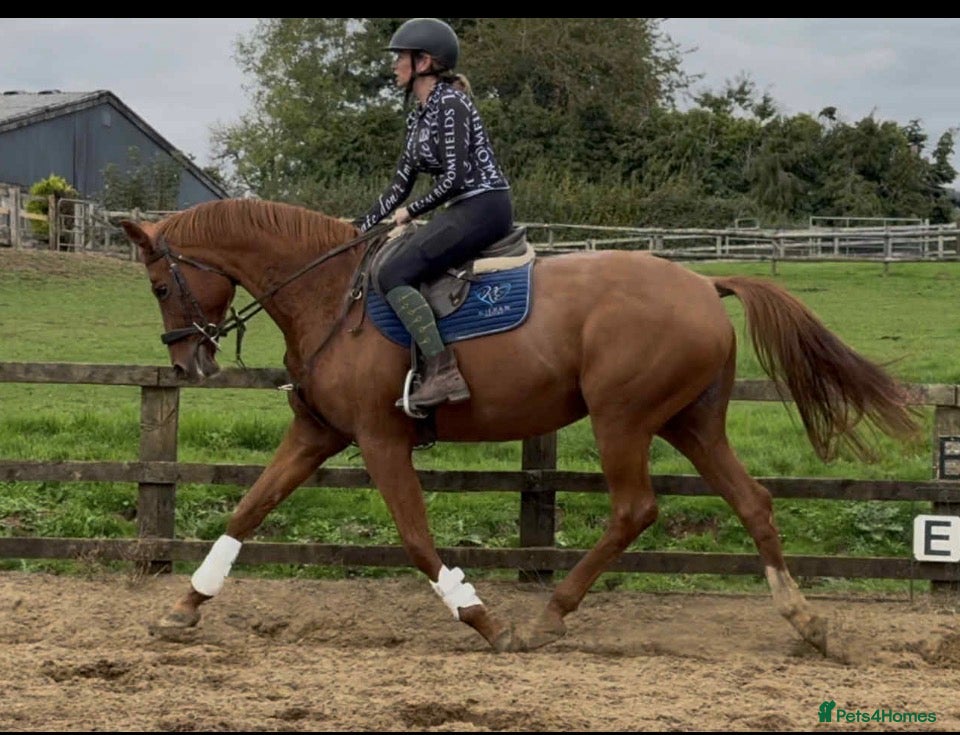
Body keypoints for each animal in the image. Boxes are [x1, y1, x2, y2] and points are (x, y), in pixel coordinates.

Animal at [119, 198, 920, 655]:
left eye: (159, 284)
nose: (188, 361)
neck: (330, 295)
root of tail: (702, 281)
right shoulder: (318, 435)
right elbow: (246, 511)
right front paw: (183, 610)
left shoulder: (380, 440)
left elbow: (416, 539)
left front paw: (481, 619)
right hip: (691, 424)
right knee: (752, 501)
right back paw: (806, 621)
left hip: (623, 419)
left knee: (635, 509)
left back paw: (548, 618)